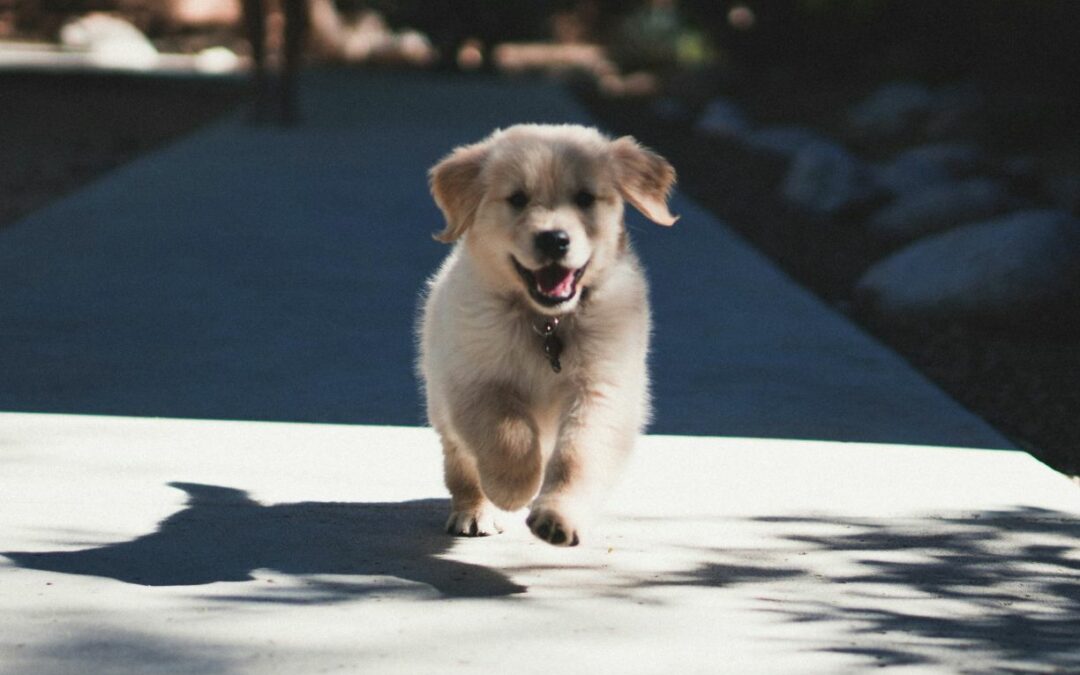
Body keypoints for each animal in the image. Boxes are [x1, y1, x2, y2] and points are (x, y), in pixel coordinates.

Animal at [419, 123, 673, 544]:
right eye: (517, 199)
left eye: (585, 198)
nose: (554, 239)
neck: (546, 322)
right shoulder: (474, 380)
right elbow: (508, 433)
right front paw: (514, 488)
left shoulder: (602, 388)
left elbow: (578, 456)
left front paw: (558, 517)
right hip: (441, 401)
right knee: (461, 464)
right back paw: (475, 510)